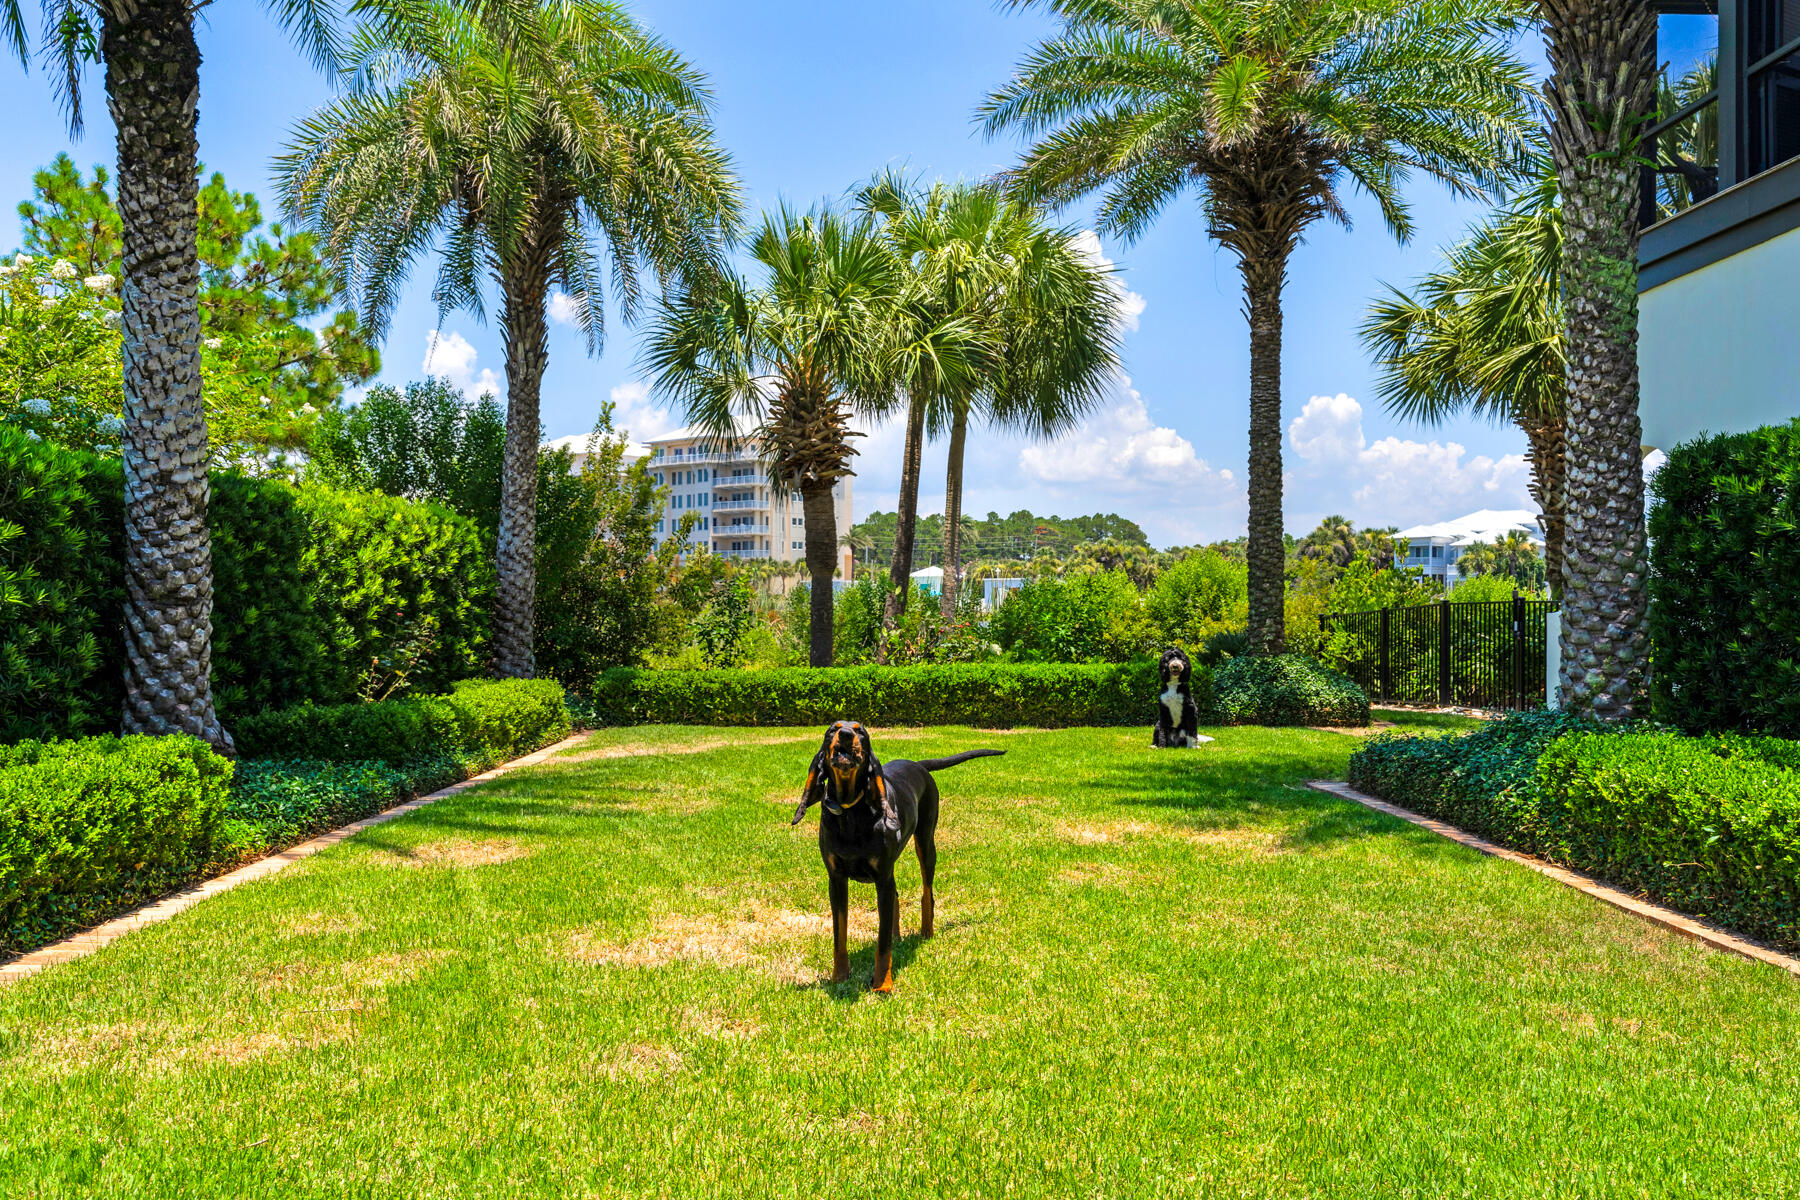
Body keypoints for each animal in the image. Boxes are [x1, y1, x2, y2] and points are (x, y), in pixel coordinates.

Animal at [795, 723, 1008, 993]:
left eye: (861, 731)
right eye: (832, 730)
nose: (845, 735)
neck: (851, 811)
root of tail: (918, 764)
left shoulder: (882, 878)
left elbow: (882, 943)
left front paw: (883, 984)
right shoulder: (837, 880)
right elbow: (839, 935)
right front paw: (839, 977)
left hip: (926, 843)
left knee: (927, 893)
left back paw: (926, 933)